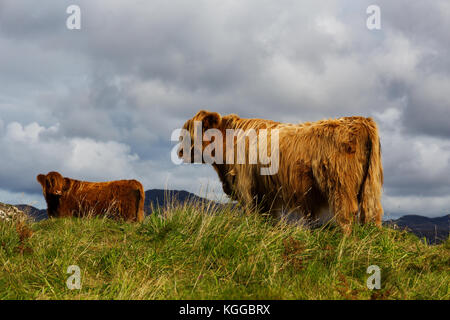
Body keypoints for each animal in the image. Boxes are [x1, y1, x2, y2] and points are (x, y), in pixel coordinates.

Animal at [178, 109, 384, 232]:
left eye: (193, 133)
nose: (180, 151)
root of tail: (361, 120)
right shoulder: (265, 194)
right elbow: (268, 217)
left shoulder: (246, 187)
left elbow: (251, 214)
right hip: (370, 187)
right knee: (373, 214)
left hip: (340, 187)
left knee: (346, 216)